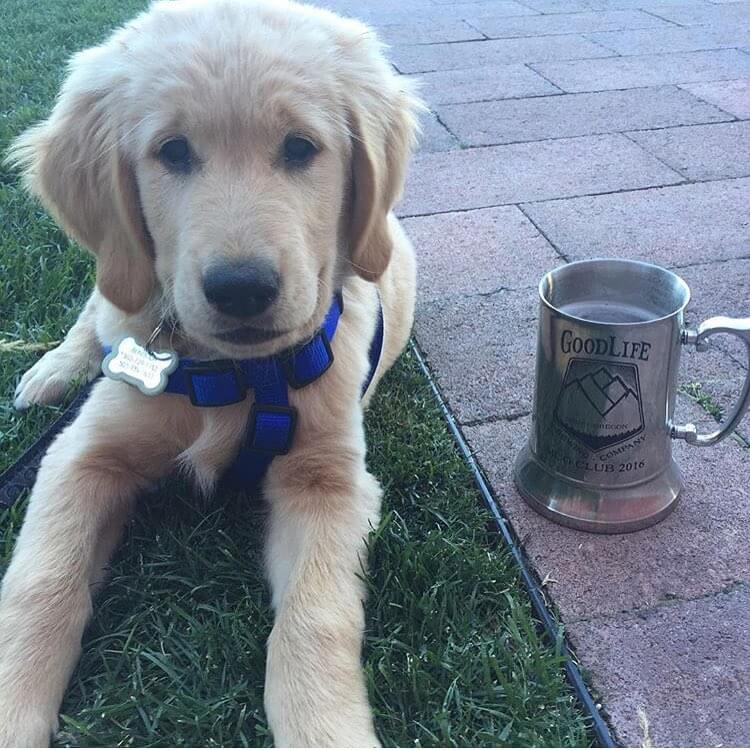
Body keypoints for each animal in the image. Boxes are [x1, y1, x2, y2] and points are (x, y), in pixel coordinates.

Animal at [0, 0, 424, 744]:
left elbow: (316, 616)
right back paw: (52, 371)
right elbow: (42, 581)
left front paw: (326, 729)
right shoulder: (82, 455)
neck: (237, 373)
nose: (242, 289)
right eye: (172, 152)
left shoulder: (329, 480)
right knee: (94, 310)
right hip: (116, 288)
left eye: (300, 148)